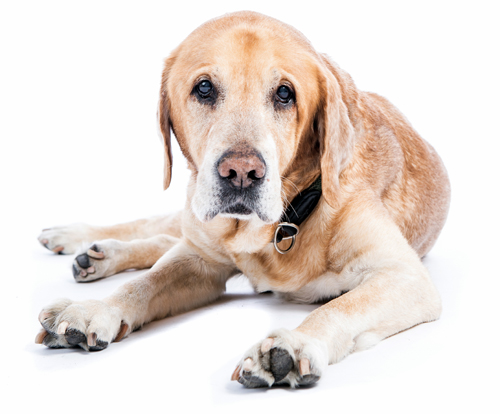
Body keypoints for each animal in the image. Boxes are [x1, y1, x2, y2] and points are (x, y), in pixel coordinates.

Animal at [36, 11, 450, 388]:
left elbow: (340, 307)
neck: (282, 228)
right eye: (204, 88)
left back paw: (97, 254)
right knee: (157, 229)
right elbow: (145, 283)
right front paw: (97, 308)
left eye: (285, 94)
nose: (241, 172)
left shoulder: (404, 275)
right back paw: (81, 241)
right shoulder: (199, 260)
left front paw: (293, 344)